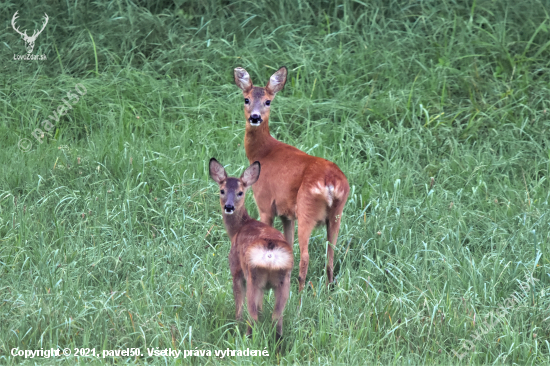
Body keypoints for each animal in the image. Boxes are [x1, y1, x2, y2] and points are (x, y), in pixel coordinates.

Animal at [210, 159, 296, 338]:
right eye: (222, 190)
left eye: (240, 192)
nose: (229, 207)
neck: (239, 228)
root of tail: (270, 253)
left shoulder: (236, 270)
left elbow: (239, 306)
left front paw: (236, 324)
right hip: (284, 280)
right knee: (277, 317)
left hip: (253, 277)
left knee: (253, 315)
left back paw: (247, 337)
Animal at [235, 67, 352, 294]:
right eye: (246, 99)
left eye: (268, 101)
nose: (255, 117)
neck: (263, 152)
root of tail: (331, 183)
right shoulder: (286, 213)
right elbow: (287, 245)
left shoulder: (265, 203)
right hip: (337, 213)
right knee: (331, 252)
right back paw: (328, 288)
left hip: (306, 208)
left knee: (306, 255)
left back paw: (300, 292)